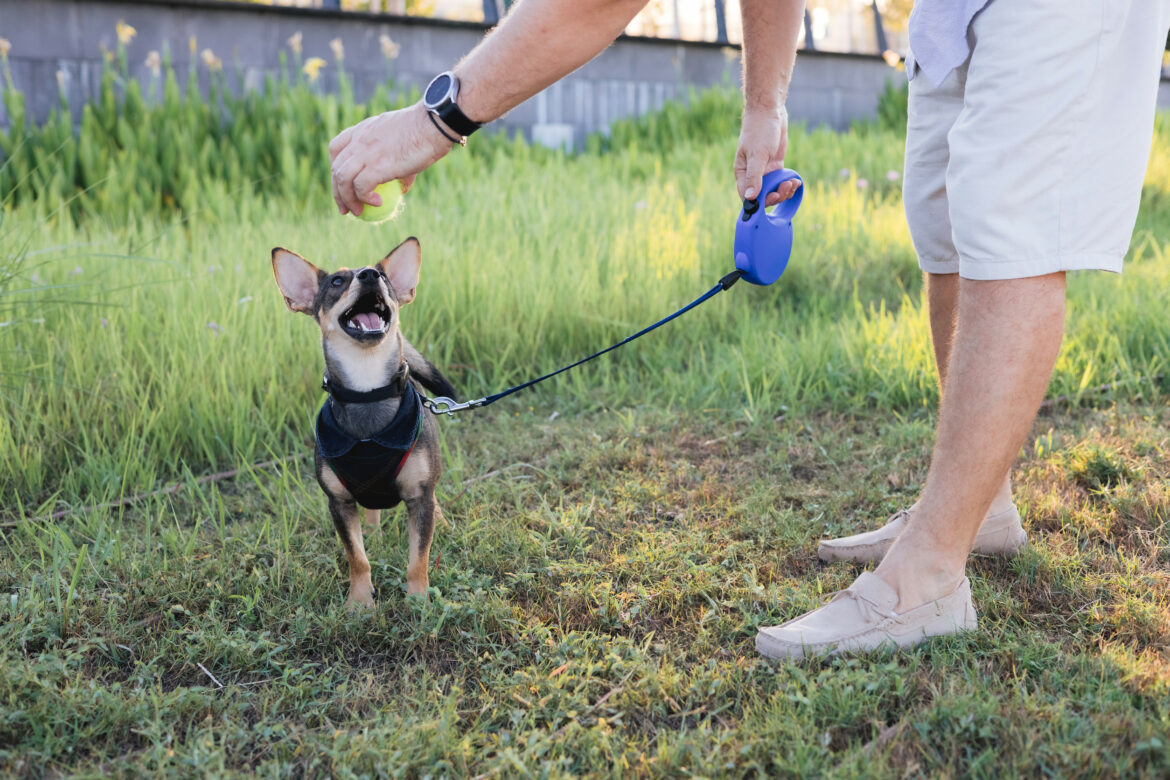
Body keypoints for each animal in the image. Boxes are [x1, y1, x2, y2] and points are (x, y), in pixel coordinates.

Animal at [271, 238, 453, 608]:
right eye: (337, 282)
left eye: (383, 277)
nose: (371, 275)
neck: (367, 389)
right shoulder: (339, 503)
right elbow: (357, 556)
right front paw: (359, 602)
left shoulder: (419, 496)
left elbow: (419, 556)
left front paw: (418, 600)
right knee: (370, 512)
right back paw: (372, 530)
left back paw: (441, 523)